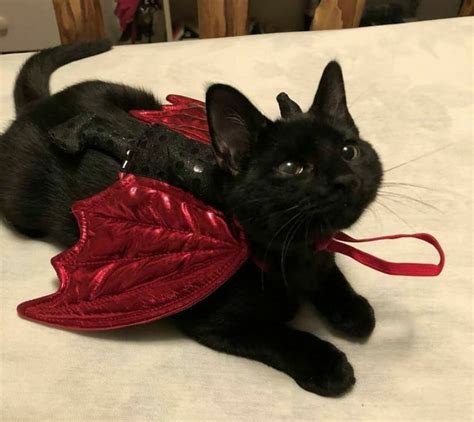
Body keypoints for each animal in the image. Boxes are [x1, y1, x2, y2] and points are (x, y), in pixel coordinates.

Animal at [0, 39, 382, 396]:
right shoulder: (216, 320)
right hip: (21, 196)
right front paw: (326, 364)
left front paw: (353, 309)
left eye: (349, 151)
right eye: (291, 167)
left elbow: (331, 274)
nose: (346, 179)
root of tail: (37, 106)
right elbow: (278, 335)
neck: (293, 250)